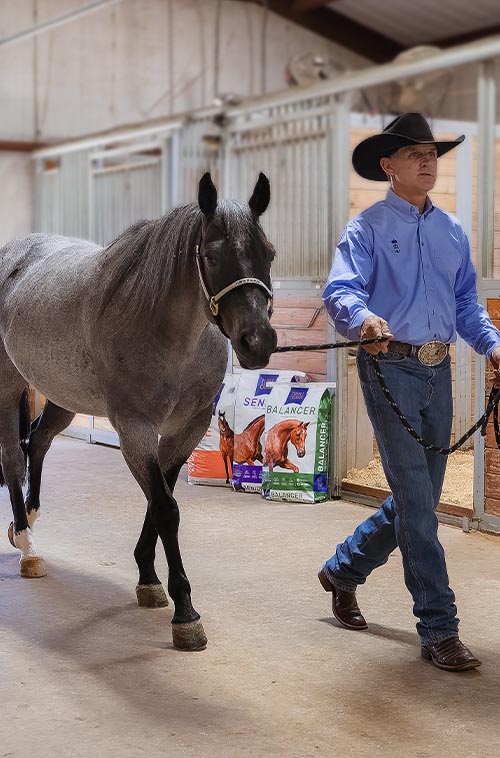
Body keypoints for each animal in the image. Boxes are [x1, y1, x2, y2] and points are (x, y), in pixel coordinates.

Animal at [0, 171, 276, 651]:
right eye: (211, 256)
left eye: (270, 254)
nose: (257, 342)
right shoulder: (134, 429)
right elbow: (165, 507)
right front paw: (185, 613)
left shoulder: (186, 429)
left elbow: (160, 497)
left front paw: (148, 578)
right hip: (8, 383)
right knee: (13, 457)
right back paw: (28, 546)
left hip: (63, 396)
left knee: (38, 440)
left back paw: (28, 521)